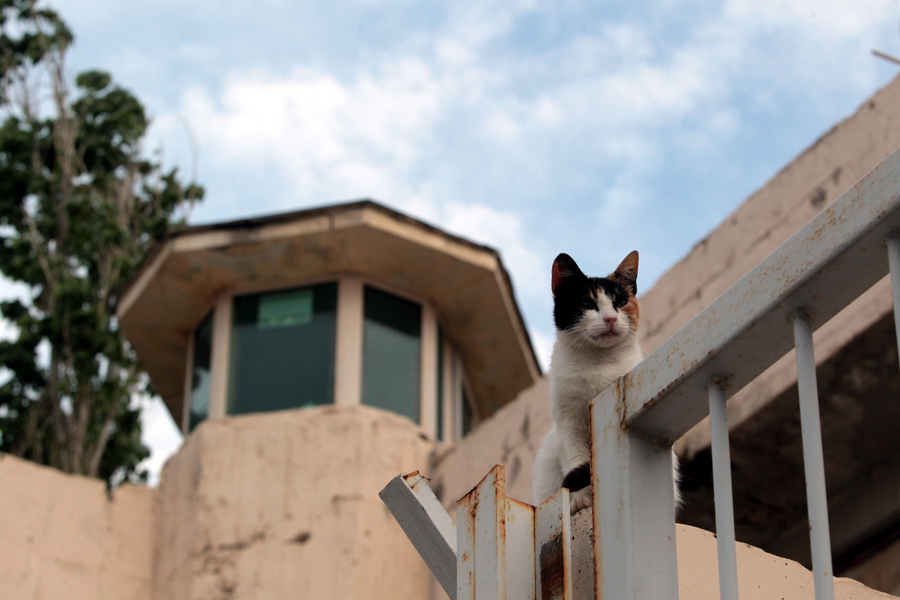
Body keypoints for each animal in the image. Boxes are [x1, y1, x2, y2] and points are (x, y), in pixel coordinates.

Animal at [532, 251, 652, 512]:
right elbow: (576, 461)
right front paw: (580, 499)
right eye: (587, 304)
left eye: (621, 302)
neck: (598, 362)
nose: (610, 318)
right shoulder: (569, 423)